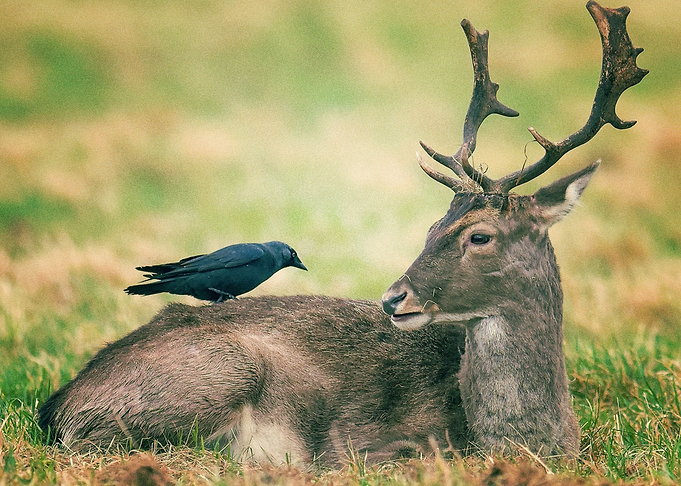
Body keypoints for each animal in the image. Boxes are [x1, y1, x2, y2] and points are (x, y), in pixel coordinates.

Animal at [37, 1, 646, 467]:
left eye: (479, 236)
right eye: (432, 226)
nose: (394, 297)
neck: (530, 439)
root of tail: (57, 405)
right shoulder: (389, 447)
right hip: (218, 373)